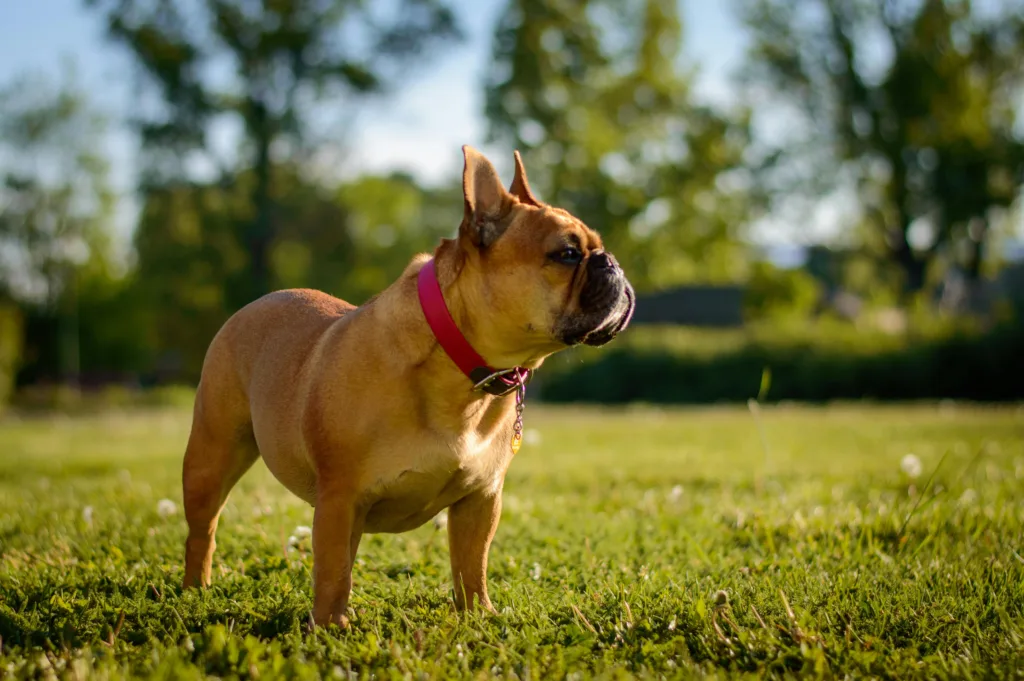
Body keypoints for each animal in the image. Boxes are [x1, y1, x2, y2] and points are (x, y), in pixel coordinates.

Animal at [182, 146, 630, 622]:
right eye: (567, 254)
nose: (611, 262)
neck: (461, 370)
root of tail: (260, 301)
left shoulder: (481, 499)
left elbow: (472, 564)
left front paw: (479, 614)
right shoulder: (341, 497)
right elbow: (333, 572)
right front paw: (331, 626)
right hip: (213, 455)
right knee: (204, 529)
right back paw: (195, 589)